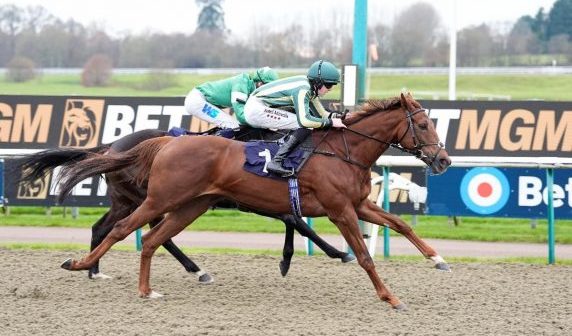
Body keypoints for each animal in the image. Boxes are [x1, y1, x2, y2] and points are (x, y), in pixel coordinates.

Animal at [19, 130, 354, 282]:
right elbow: (295, 221)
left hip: (127, 200)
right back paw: (196, 269)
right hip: (148, 198)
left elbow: (292, 220)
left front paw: (289, 259)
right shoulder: (250, 199)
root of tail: (110, 147)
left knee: (103, 227)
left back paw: (94, 270)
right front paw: (338, 253)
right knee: (155, 234)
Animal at [58, 93, 452, 312]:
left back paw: (148, 289)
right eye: (423, 125)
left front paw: (438, 259)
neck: (343, 151)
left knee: (152, 239)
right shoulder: (340, 210)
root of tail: (167, 143)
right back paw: (82, 264)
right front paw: (391, 298)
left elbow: (400, 223)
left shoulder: (357, 205)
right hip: (159, 199)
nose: (444, 160)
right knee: (123, 230)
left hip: (190, 205)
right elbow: (365, 256)